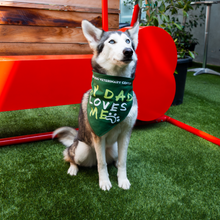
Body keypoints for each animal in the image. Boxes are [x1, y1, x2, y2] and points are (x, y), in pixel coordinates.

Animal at [53, 20, 138, 191]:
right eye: (111, 42)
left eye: (128, 41)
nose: (128, 51)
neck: (115, 91)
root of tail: (75, 139)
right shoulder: (98, 136)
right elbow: (102, 163)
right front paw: (104, 182)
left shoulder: (125, 134)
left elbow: (123, 161)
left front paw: (122, 179)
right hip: (82, 149)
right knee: (70, 156)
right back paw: (73, 168)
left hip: (114, 148)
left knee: (114, 159)